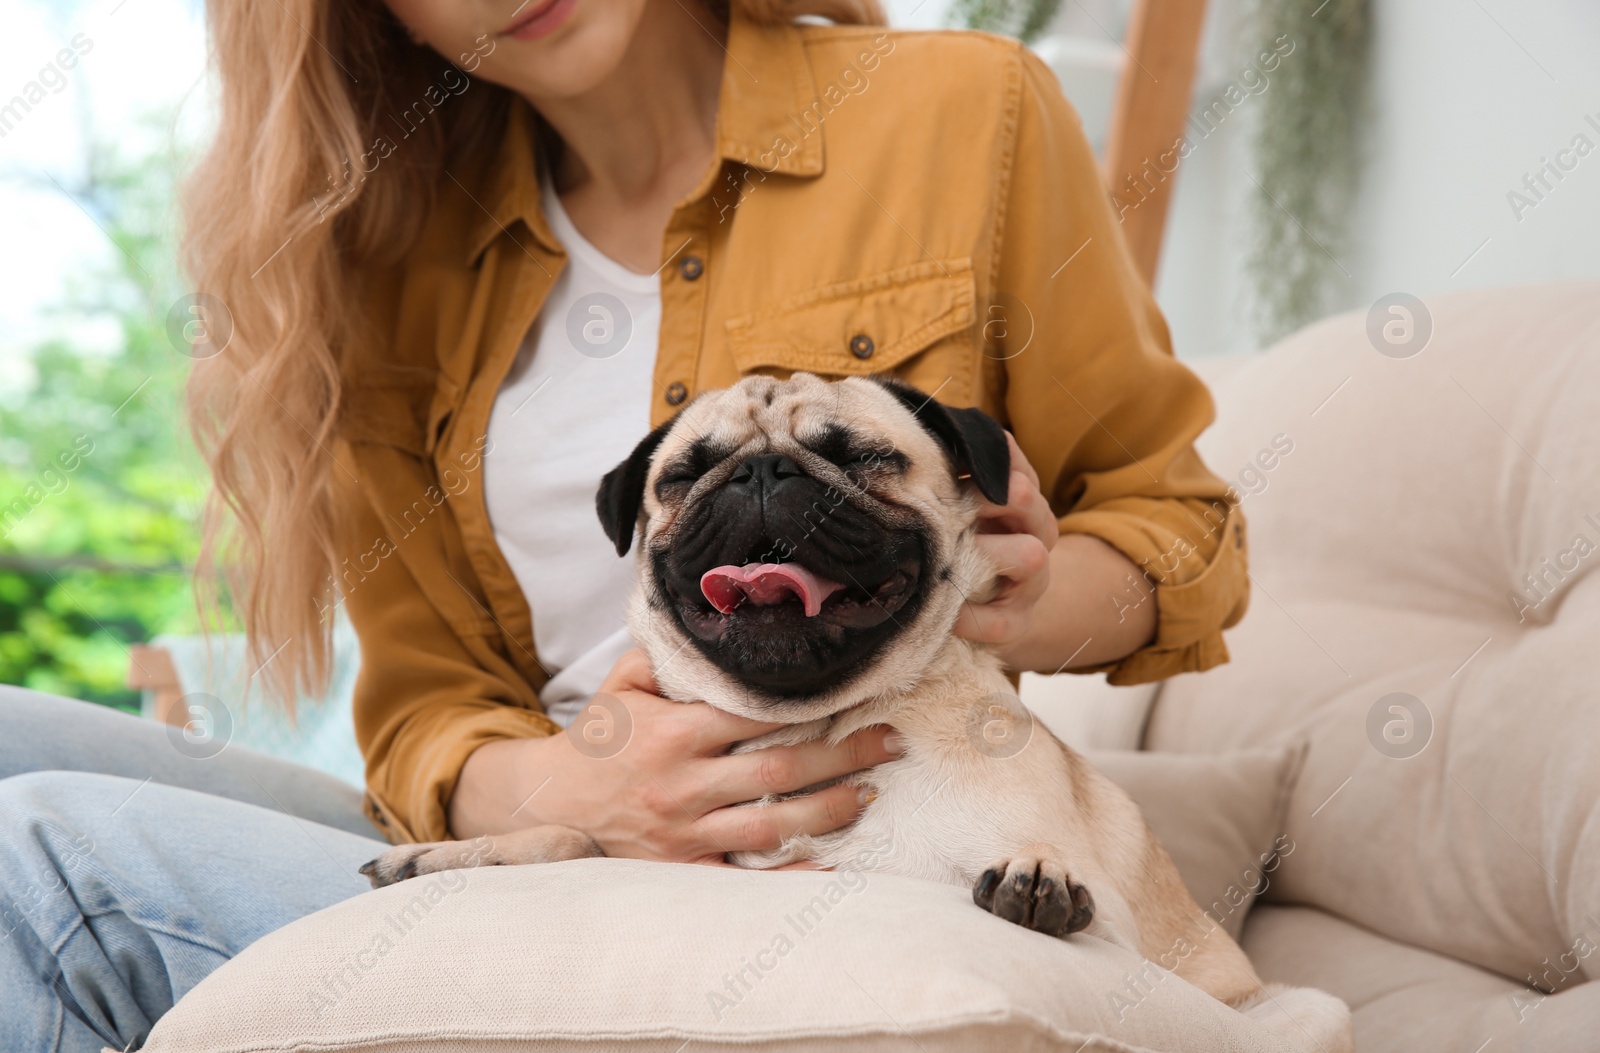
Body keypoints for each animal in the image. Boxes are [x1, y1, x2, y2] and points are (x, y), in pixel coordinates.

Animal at [366, 372, 1350, 1043]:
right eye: (685, 475)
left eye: (863, 458)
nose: (760, 473)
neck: (814, 717)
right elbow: (570, 837)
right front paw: (453, 853)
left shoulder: (1110, 929)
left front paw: (1037, 881)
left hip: (1295, 1009)